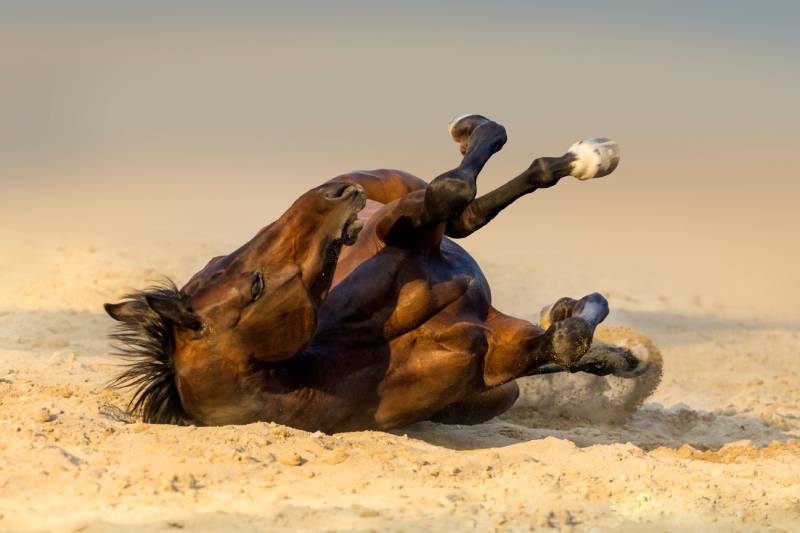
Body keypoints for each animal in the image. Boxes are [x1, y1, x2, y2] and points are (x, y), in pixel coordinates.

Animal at [105, 114, 648, 431]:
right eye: (255, 285)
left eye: (219, 262)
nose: (332, 194)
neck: (348, 355)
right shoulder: (496, 355)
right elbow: (564, 341)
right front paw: (582, 322)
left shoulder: (399, 226)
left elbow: (451, 193)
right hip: (497, 391)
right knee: (466, 206)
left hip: (403, 193)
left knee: (469, 210)